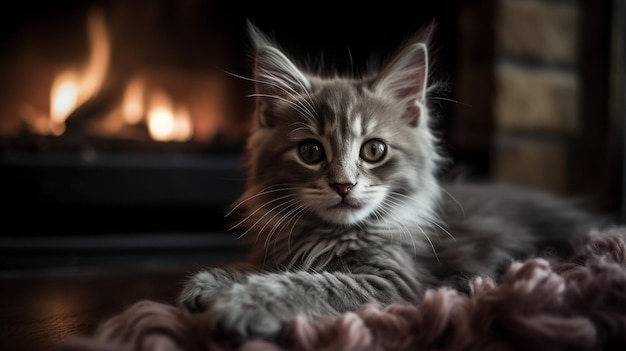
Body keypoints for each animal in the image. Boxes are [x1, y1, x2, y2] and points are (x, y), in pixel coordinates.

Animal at [177, 21, 600, 344]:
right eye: (311, 151)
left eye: (374, 150)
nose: (343, 185)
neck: (330, 234)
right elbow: (262, 266)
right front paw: (213, 282)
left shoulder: (396, 280)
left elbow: (309, 283)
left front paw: (241, 303)